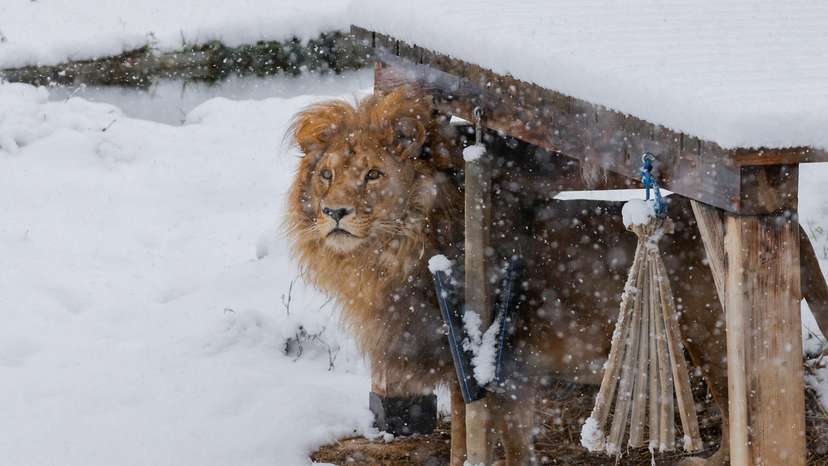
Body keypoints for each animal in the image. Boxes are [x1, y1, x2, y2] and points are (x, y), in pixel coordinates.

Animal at [285, 87, 828, 466]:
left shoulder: (512, 372)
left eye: (374, 175)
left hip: (713, 331)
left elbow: (512, 450)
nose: (334, 213)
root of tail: (793, 223)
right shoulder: (462, 371)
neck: (394, 253)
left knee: (748, 412)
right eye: (326, 176)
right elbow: (463, 440)